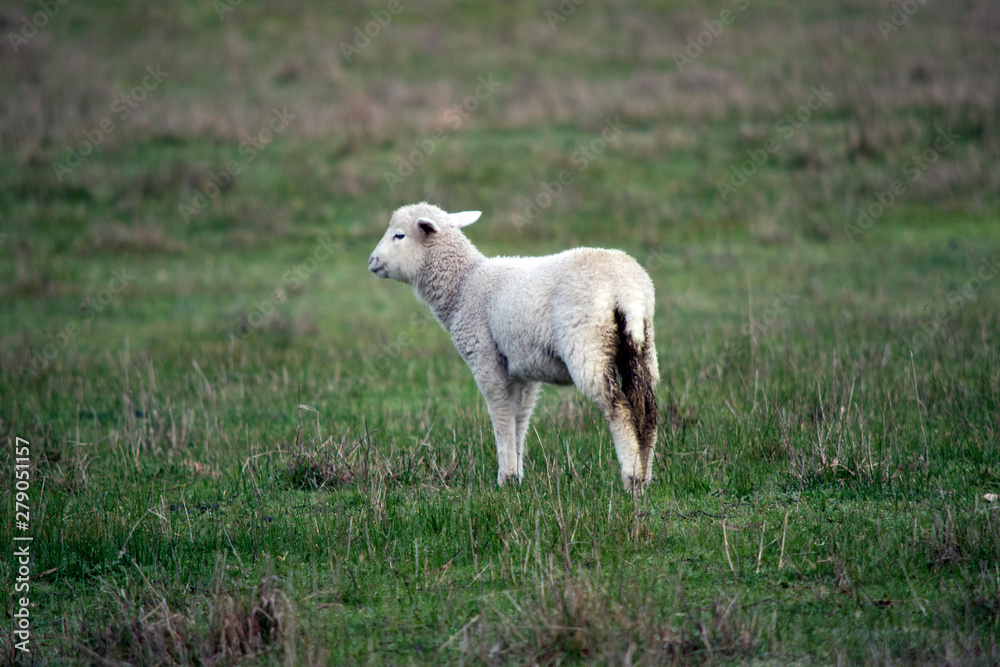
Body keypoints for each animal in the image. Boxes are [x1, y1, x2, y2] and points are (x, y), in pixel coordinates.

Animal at [368, 202, 659, 493]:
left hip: (588, 343)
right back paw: (644, 477)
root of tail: (626, 288)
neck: (464, 286)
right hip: (641, 343)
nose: (371, 261)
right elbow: (520, 418)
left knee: (618, 408)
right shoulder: (523, 369)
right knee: (647, 409)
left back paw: (631, 479)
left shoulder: (485, 358)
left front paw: (505, 477)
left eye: (399, 235)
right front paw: (517, 477)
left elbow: (502, 416)